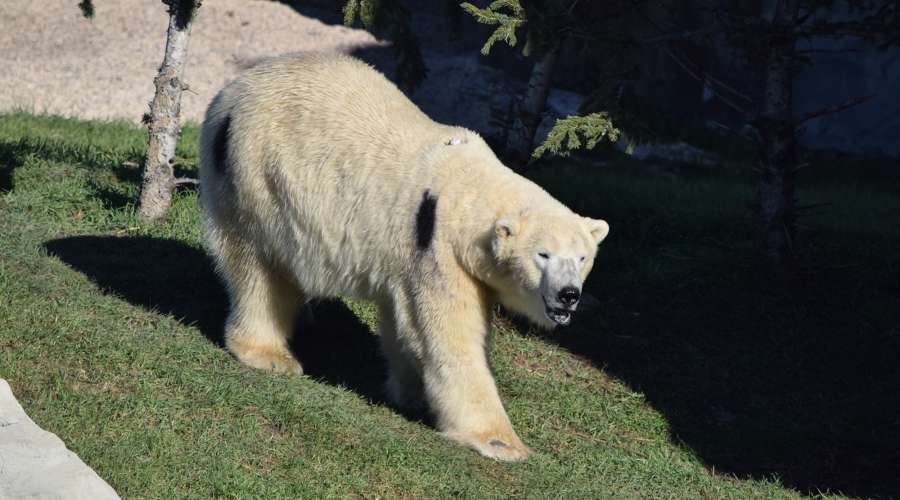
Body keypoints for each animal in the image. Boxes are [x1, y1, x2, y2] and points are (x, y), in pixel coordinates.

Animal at [198, 53, 610, 461]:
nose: (569, 294)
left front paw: (411, 393)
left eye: (582, 258)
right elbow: (450, 335)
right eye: (544, 254)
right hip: (256, 173)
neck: (468, 193)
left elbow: (403, 323)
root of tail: (231, 92)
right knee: (258, 266)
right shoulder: (437, 248)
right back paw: (269, 353)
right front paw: (502, 442)